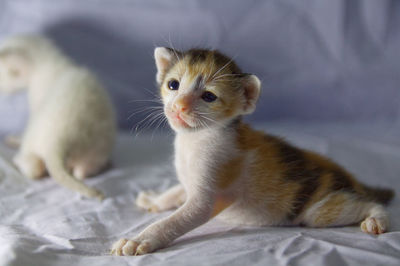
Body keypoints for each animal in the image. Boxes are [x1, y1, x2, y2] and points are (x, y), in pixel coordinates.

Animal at [0, 34, 115, 198]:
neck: (49, 59)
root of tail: (63, 138)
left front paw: (15, 138)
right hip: (96, 148)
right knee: (82, 172)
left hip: (34, 140)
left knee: (33, 169)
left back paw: (17, 156)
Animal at [111, 47, 394, 256]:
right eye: (173, 85)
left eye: (209, 97)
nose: (179, 106)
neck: (195, 139)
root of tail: (353, 180)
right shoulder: (190, 180)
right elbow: (177, 190)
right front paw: (155, 200)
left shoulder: (212, 181)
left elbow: (178, 219)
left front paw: (140, 239)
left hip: (319, 210)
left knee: (368, 203)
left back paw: (377, 220)